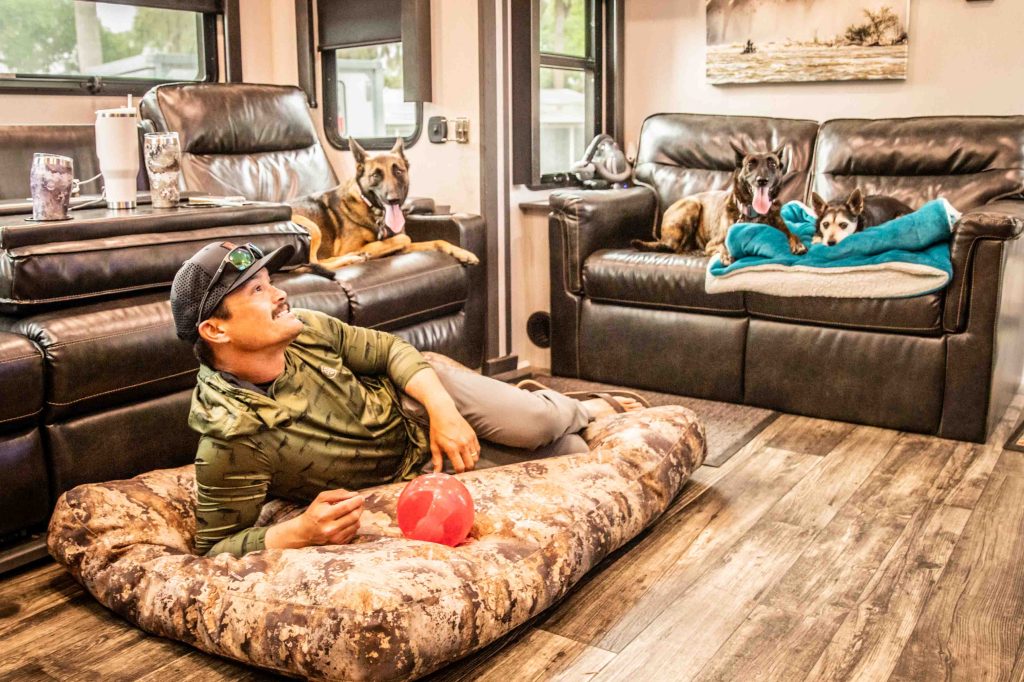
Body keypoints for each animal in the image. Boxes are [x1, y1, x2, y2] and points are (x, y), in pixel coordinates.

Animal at [289, 137, 479, 270]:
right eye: (375, 175)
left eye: (398, 171)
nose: (393, 199)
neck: (373, 210)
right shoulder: (350, 247)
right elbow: (403, 238)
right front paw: (367, 251)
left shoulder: (404, 248)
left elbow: (437, 241)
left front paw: (463, 252)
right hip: (312, 227)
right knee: (313, 263)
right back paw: (354, 258)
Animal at [631, 142, 807, 265]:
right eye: (750, 164)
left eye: (773, 164)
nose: (762, 180)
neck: (754, 213)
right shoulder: (714, 243)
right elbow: (723, 245)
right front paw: (727, 255)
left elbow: (791, 233)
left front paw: (798, 243)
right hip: (692, 205)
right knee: (673, 247)